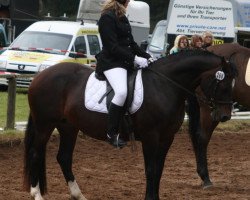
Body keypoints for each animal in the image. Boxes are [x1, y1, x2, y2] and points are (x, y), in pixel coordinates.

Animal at [23, 50, 236, 200]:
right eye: (224, 84)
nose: (225, 116)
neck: (164, 86)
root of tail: (40, 75)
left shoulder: (167, 138)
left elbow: (159, 169)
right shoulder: (151, 137)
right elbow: (150, 169)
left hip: (68, 127)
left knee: (64, 158)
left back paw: (79, 195)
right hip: (44, 125)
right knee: (35, 154)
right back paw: (37, 195)